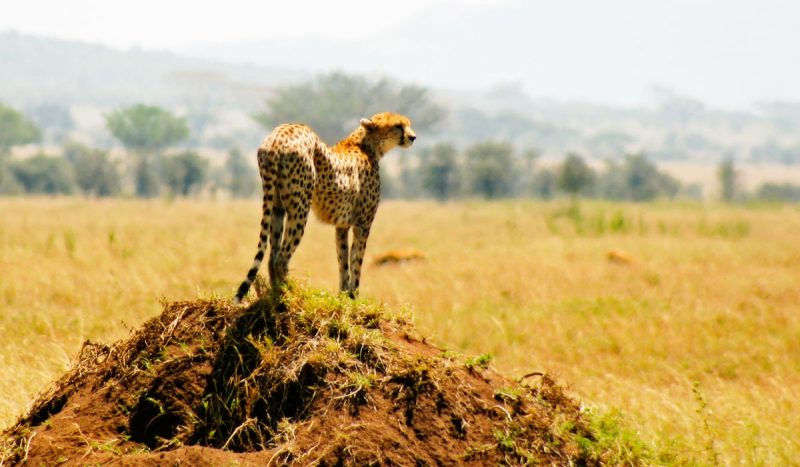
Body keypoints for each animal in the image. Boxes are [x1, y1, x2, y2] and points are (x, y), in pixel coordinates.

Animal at [234, 112, 416, 303]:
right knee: (281, 259)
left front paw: (343, 296)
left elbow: (343, 261)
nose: (413, 137)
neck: (366, 145)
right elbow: (356, 261)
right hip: (300, 207)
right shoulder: (363, 224)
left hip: (276, 207)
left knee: (272, 256)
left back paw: (276, 295)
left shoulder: (342, 226)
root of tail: (278, 136)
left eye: (407, 124)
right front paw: (354, 298)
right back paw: (290, 294)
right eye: (398, 126)